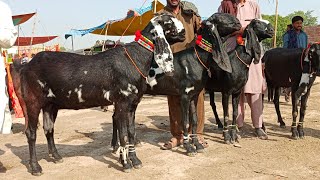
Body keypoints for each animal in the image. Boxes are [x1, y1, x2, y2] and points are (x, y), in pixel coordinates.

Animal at [10, 14, 185, 176]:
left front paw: (135, 160)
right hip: (32, 101)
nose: (183, 32)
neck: (135, 58)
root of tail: (26, 66)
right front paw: (126, 164)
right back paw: (35, 167)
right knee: (31, 133)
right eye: (169, 21)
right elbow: (123, 135)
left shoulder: (132, 105)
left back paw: (56, 156)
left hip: (50, 105)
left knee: (49, 129)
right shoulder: (121, 103)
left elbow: (131, 132)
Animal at [111, 12, 241, 156]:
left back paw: (116, 145)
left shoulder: (194, 95)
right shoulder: (184, 96)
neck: (196, 58)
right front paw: (188, 147)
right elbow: (185, 122)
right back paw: (117, 146)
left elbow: (194, 121)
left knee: (115, 116)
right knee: (116, 117)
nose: (238, 22)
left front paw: (197, 144)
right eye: (219, 16)